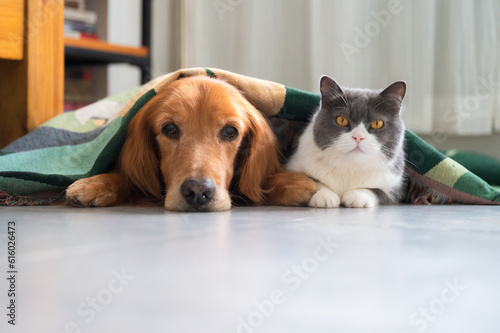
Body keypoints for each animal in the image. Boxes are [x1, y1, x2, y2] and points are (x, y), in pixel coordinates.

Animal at [66, 75, 316, 210]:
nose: (198, 191)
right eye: (169, 128)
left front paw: (294, 183)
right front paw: (95, 184)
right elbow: (125, 177)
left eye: (230, 131)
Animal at [290, 76, 406, 208]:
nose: (358, 137)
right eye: (342, 120)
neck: (350, 166)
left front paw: (358, 196)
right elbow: (308, 179)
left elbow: (378, 191)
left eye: (377, 123)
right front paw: (324, 195)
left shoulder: (395, 187)